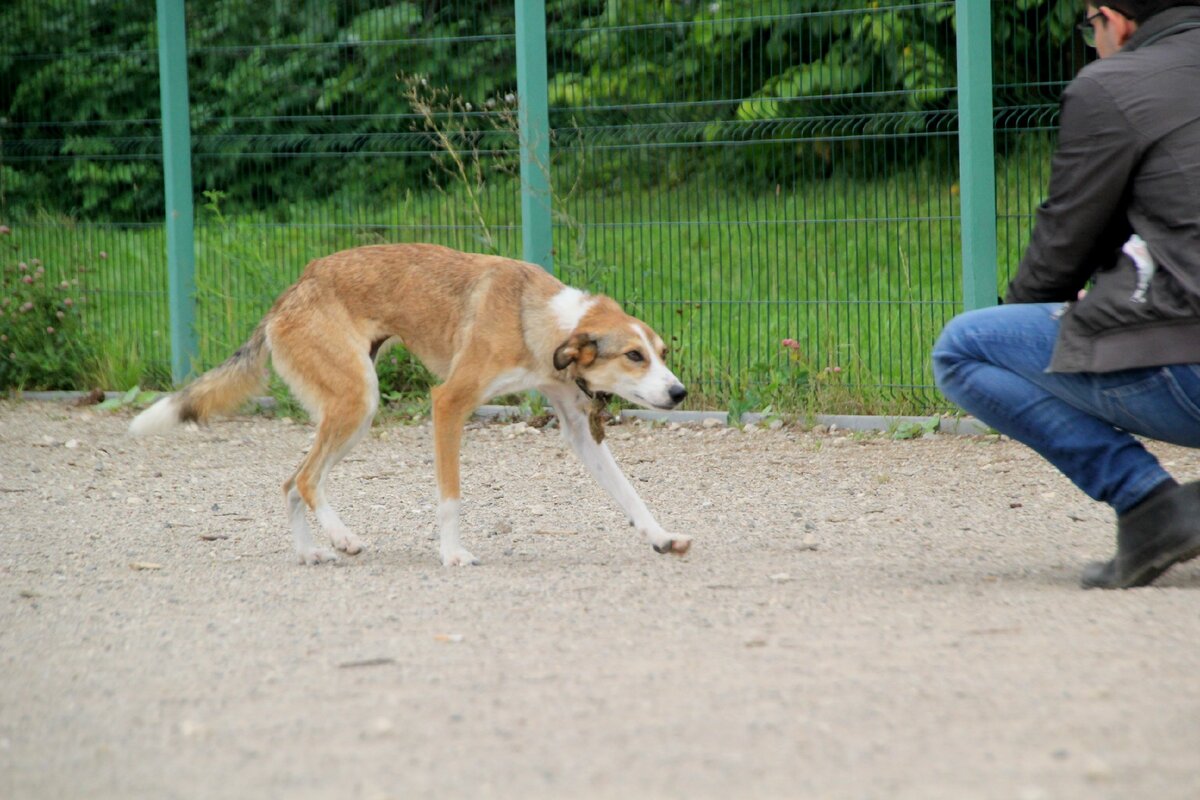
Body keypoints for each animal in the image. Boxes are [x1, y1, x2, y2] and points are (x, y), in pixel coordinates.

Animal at [129, 242, 696, 563]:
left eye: (662, 353)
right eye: (633, 356)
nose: (679, 393)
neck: (533, 317)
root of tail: (295, 287)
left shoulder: (581, 430)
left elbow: (630, 495)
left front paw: (661, 537)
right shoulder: (448, 405)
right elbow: (450, 497)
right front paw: (451, 555)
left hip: (351, 413)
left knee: (291, 482)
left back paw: (312, 551)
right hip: (357, 402)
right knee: (306, 480)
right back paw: (342, 537)